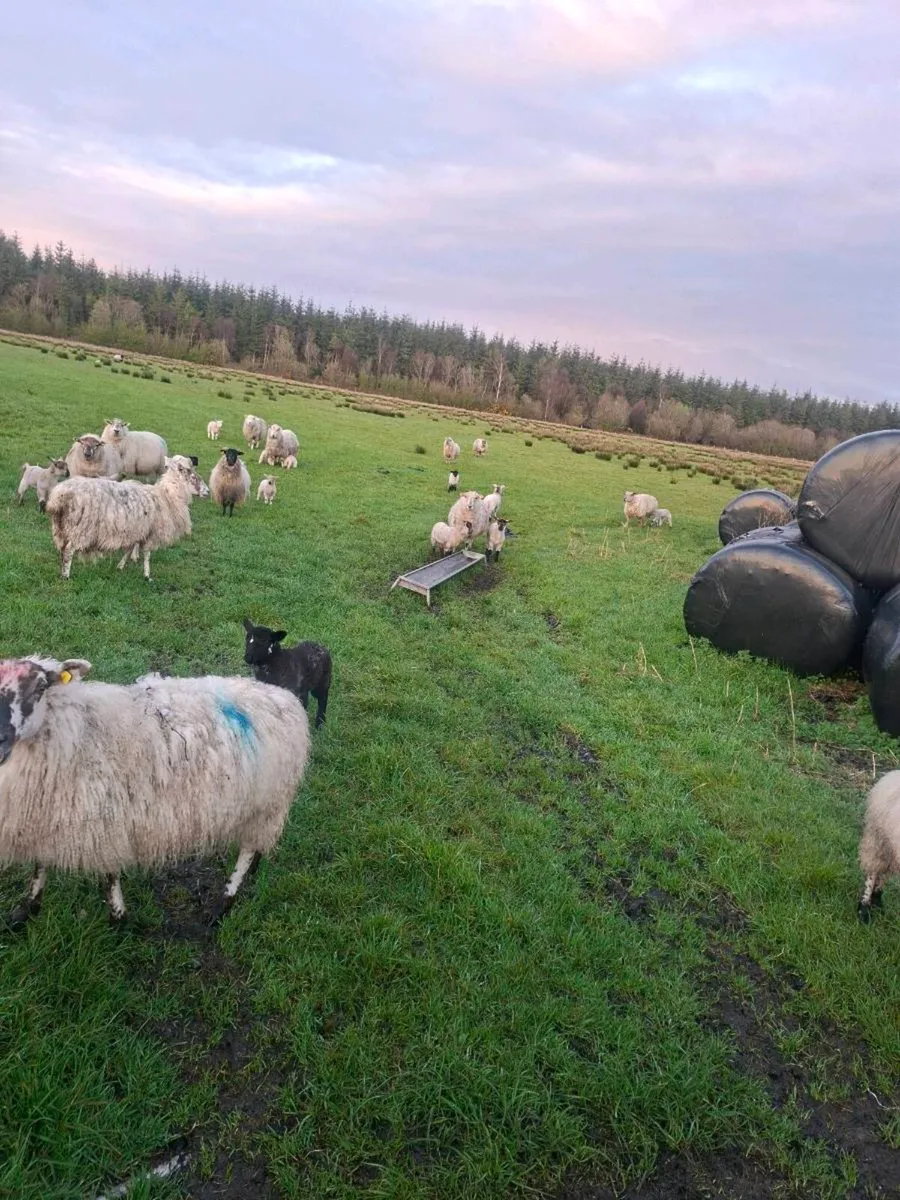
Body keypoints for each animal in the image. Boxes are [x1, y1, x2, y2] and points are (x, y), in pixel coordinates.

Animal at [0, 654, 310, 929]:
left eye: (41, 687)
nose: (1, 738)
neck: (78, 732)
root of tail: (283, 696)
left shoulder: (104, 823)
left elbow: (109, 876)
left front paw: (118, 919)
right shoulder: (43, 818)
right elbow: (40, 866)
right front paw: (25, 911)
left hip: (269, 803)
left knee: (247, 852)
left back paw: (222, 904)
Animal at [46, 455, 209, 581]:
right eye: (192, 475)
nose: (208, 491)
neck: (167, 495)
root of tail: (59, 495)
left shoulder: (136, 530)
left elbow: (130, 549)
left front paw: (120, 566)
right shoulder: (150, 532)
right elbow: (147, 554)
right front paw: (147, 576)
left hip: (62, 528)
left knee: (62, 550)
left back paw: (62, 571)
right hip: (81, 529)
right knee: (68, 551)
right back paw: (66, 576)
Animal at [858, 772, 900, 922]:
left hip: (890, 847)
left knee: (883, 874)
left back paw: (877, 900)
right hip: (878, 840)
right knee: (873, 872)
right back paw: (864, 910)